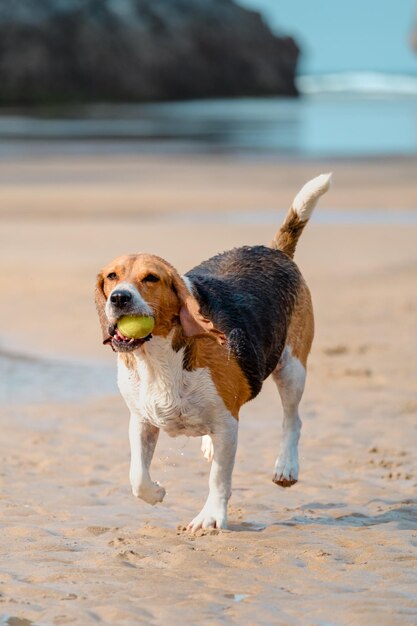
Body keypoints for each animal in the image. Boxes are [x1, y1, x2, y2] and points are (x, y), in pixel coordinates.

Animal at [95, 173, 332, 528]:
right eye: (112, 276)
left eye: (151, 278)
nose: (119, 298)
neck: (157, 357)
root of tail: (274, 251)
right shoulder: (141, 420)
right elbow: (137, 476)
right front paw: (156, 492)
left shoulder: (227, 425)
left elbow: (219, 478)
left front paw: (211, 517)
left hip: (292, 368)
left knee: (293, 420)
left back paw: (286, 466)